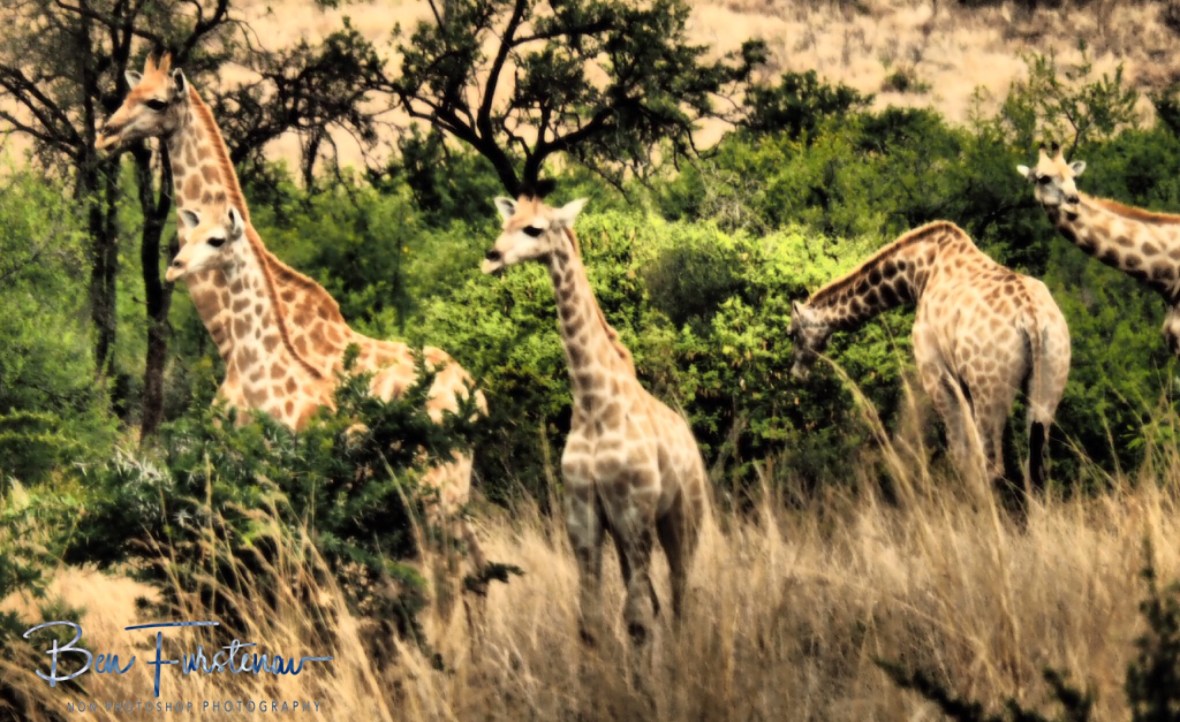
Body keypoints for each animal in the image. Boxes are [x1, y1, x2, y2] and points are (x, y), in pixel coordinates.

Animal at [97, 55, 486, 575]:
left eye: (156, 102)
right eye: (127, 94)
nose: (105, 134)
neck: (228, 336)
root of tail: (478, 398)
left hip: (435, 486)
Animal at [482, 192, 709, 652]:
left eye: (534, 229)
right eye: (505, 222)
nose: (491, 257)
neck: (592, 404)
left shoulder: (633, 512)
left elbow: (637, 619)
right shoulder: (583, 516)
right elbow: (591, 622)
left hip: (683, 517)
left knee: (678, 596)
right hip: (630, 532)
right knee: (659, 601)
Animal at [790, 221, 1071, 491]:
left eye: (791, 333)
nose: (796, 373)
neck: (918, 273)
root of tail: (1031, 318)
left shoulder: (935, 374)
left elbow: (960, 455)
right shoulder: (962, 383)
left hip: (989, 388)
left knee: (993, 466)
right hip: (1050, 376)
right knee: (1037, 468)